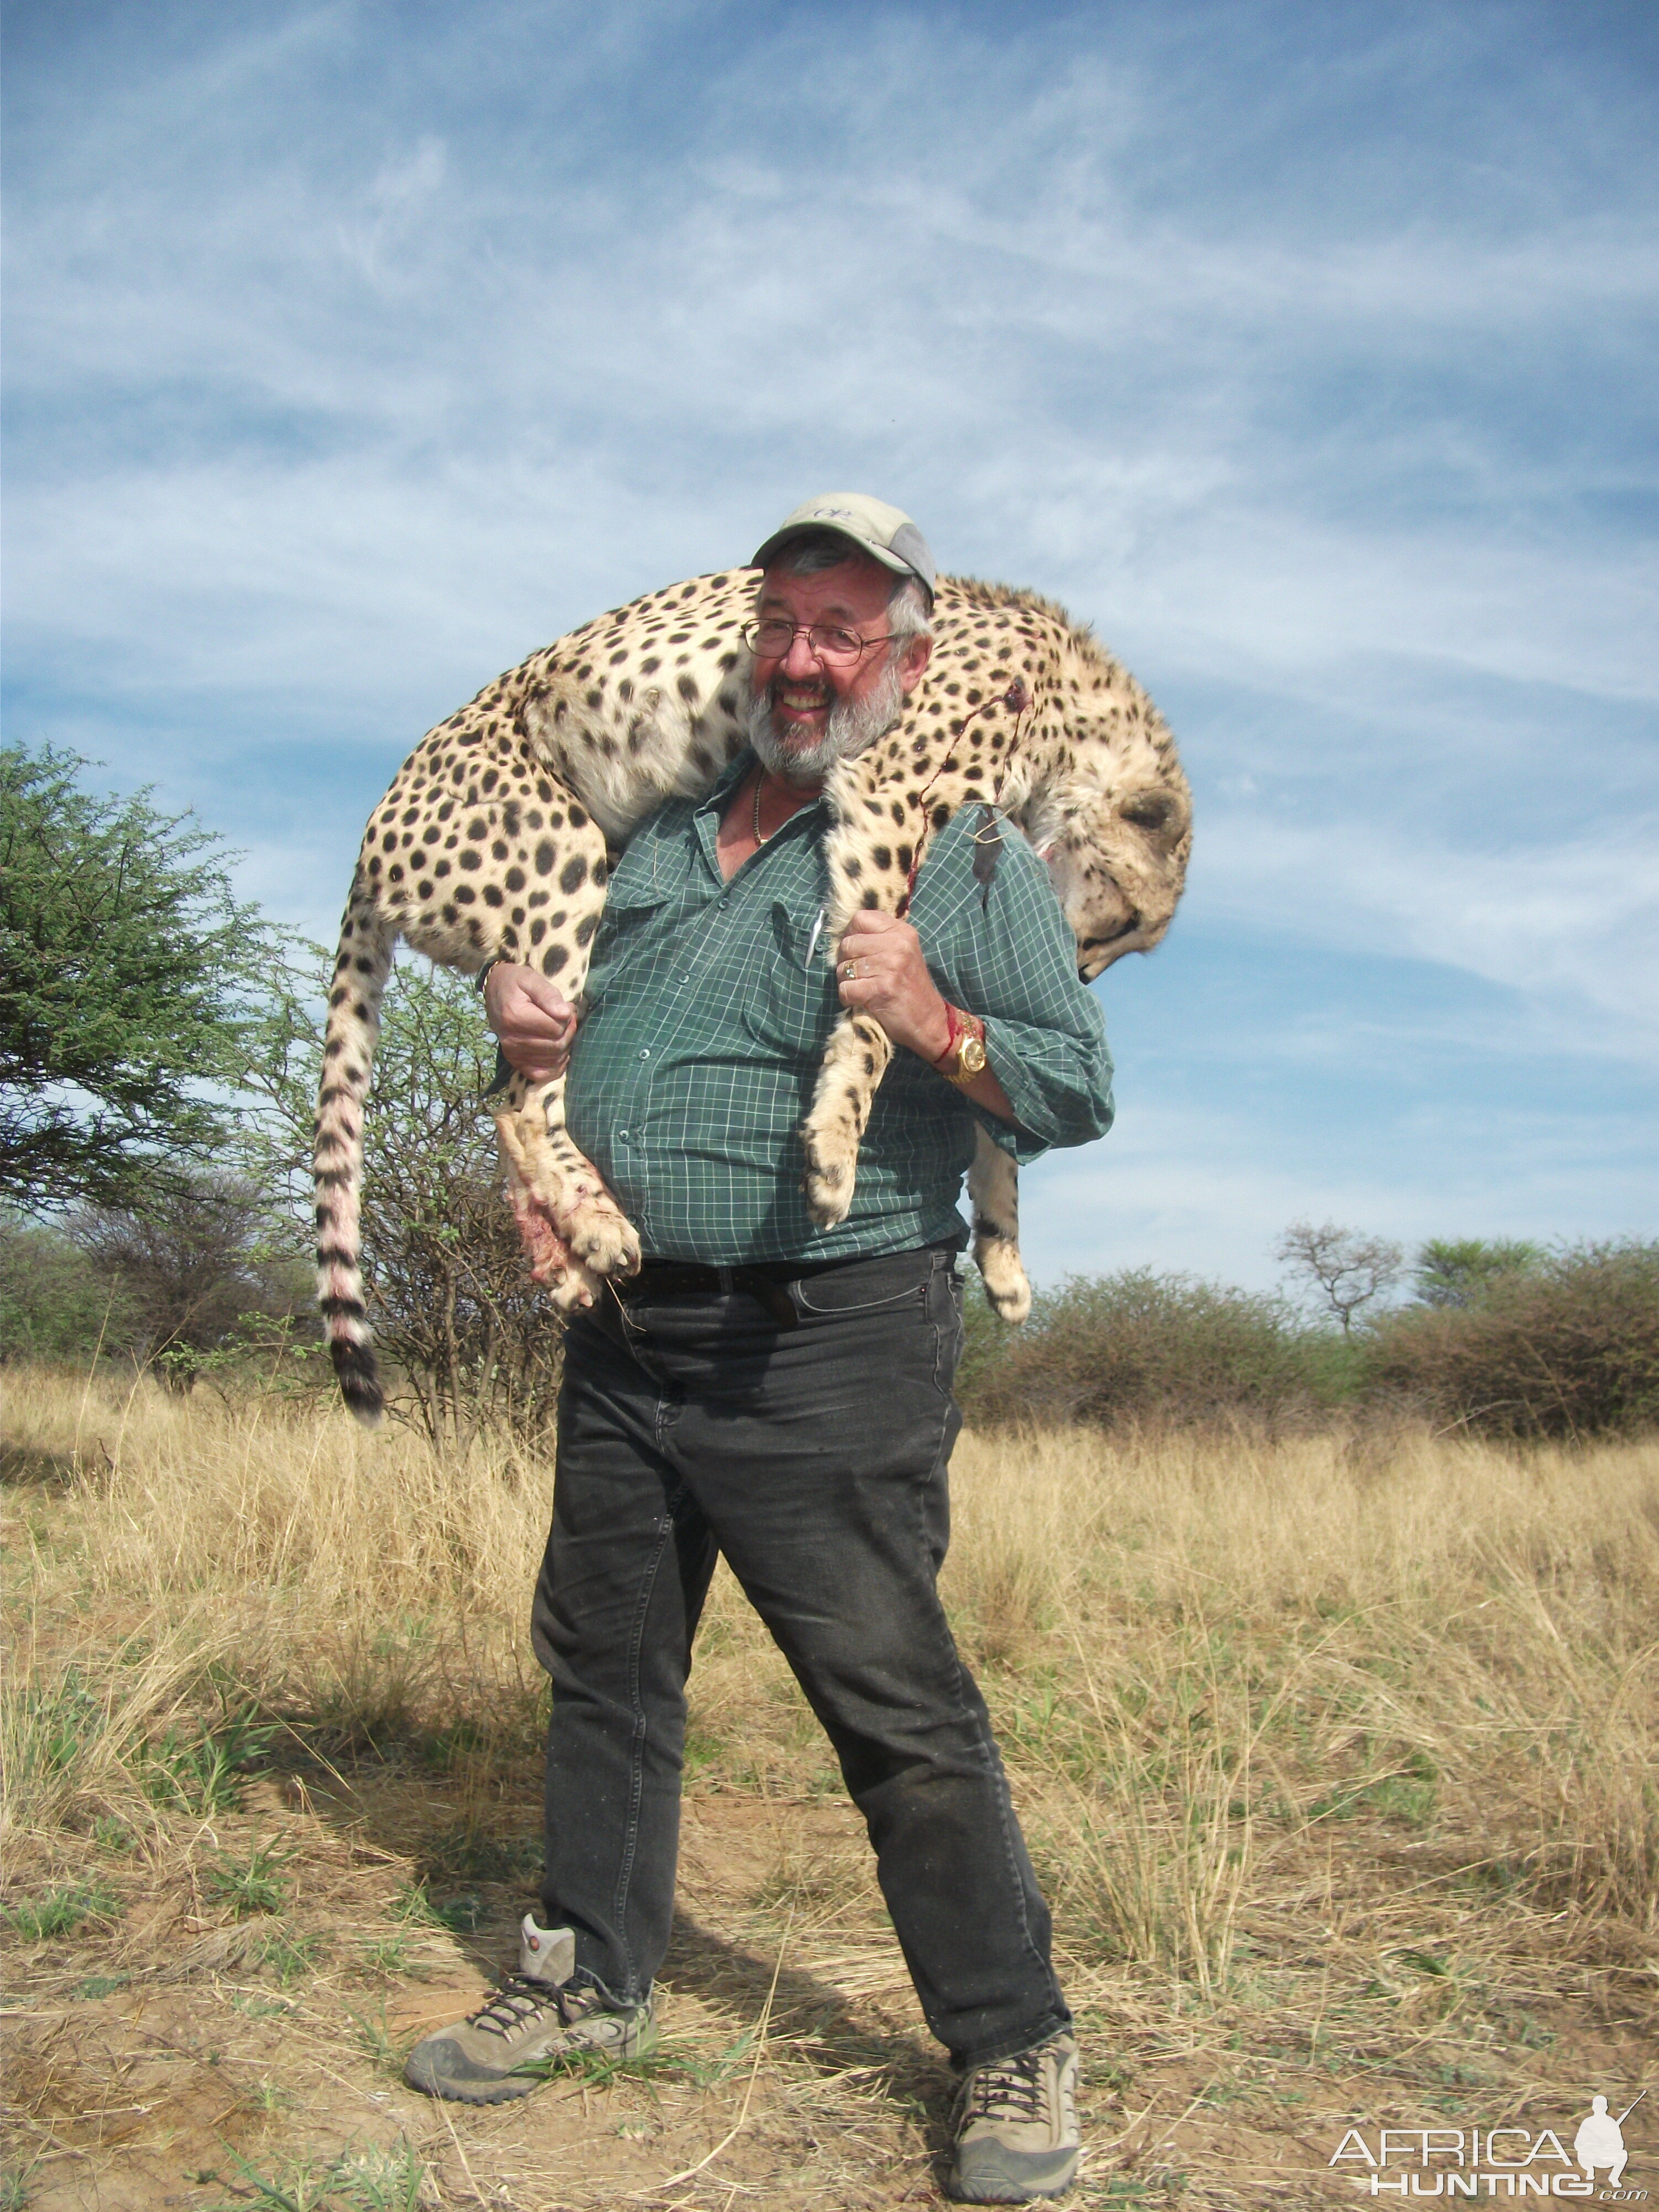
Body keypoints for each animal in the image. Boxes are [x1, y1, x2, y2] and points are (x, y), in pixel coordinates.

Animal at [314, 571, 1194, 1425]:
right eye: (1125, 921)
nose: (1084, 972)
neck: (1068, 698)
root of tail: (370, 835)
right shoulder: (888, 792)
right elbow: (875, 1021)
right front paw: (835, 1149)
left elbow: (1001, 1092)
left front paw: (1005, 1256)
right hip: (559, 851)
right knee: (524, 1098)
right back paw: (597, 1222)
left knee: (506, 1095)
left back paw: (567, 1259)